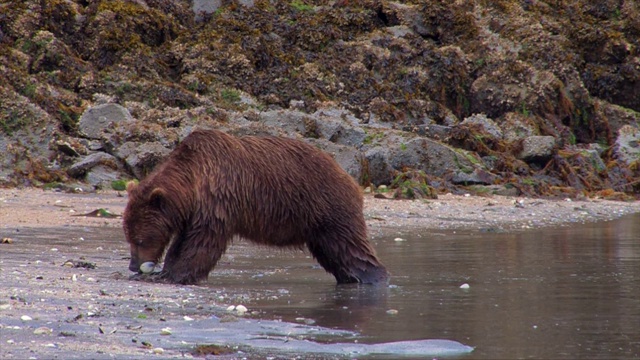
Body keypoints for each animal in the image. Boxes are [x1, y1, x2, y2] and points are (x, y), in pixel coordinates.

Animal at [122, 128, 388, 286]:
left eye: (141, 239)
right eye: (129, 237)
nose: (133, 265)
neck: (193, 182)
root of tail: (352, 179)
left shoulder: (218, 199)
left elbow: (202, 243)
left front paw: (176, 275)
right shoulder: (194, 212)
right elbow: (182, 242)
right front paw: (167, 270)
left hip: (327, 207)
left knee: (350, 248)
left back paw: (373, 278)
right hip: (318, 227)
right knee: (335, 254)